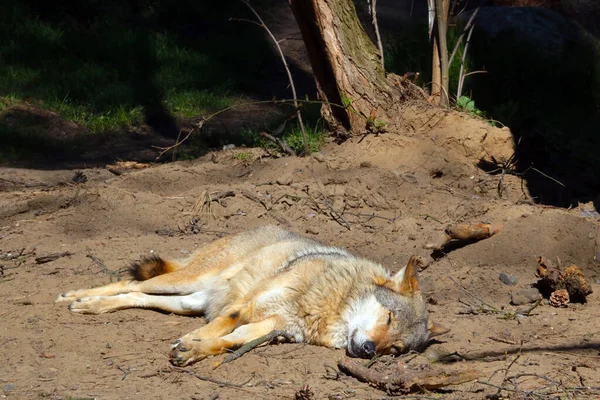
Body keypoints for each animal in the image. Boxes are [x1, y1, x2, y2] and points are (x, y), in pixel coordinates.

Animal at [58, 225, 448, 366]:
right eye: (388, 317)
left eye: (394, 349)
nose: (368, 350)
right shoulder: (247, 306)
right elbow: (219, 328)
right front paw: (193, 342)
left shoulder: (274, 327)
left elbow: (227, 341)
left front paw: (193, 350)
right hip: (181, 282)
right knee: (128, 284)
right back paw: (77, 299)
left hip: (185, 302)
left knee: (135, 296)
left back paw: (91, 306)